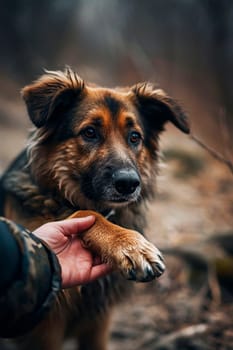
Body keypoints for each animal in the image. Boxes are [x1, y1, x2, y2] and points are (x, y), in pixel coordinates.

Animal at [0, 67, 189, 348]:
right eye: (89, 132)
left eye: (135, 137)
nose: (129, 184)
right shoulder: (46, 328)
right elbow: (86, 213)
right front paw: (132, 246)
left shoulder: (99, 321)